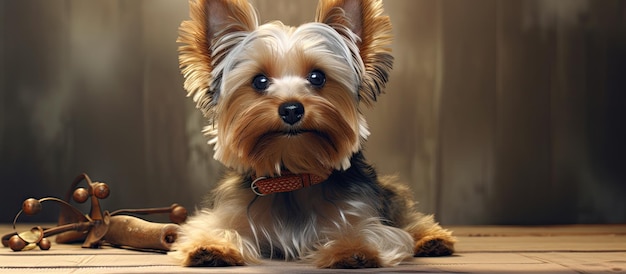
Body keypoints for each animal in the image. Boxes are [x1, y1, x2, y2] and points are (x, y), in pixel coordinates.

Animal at [168, 0, 456, 268]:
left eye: (318, 77)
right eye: (259, 81)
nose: (291, 109)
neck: (292, 176)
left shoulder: (365, 215)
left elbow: (371, 232)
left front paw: (352, 250)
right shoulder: (226, 213)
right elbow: (208, 229)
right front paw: (210, 248)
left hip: (389, 193)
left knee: (408, 218)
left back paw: (433, 239)